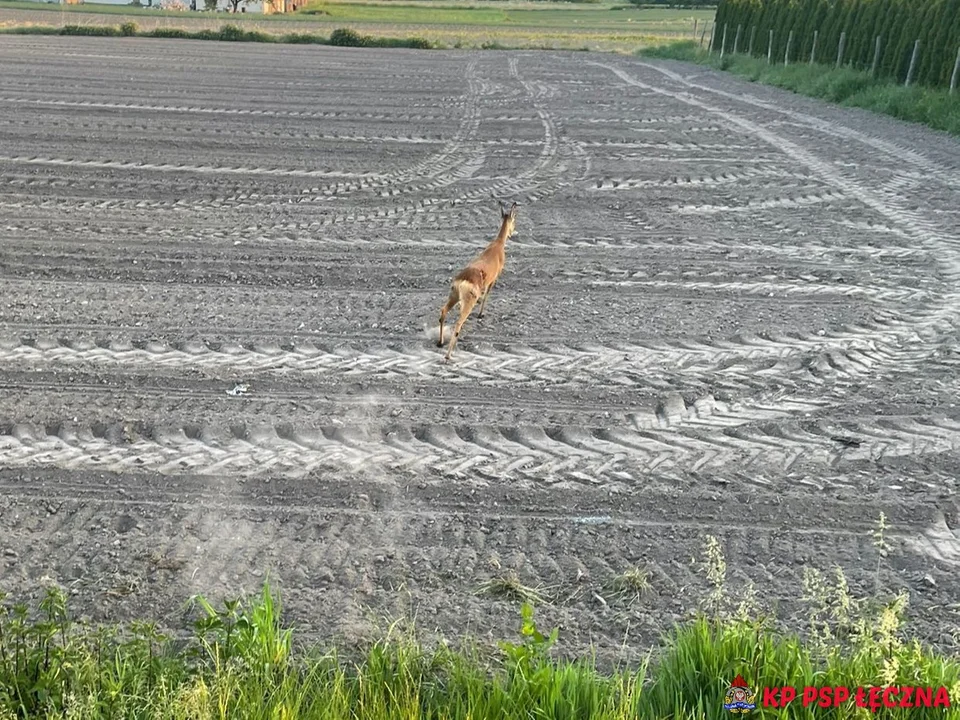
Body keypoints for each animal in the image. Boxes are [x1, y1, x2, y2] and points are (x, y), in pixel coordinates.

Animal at [438, 201, 520, 360]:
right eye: (514, 220)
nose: (513, 232)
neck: (498, 244)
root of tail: (463, 280)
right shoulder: (493, 280)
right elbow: (487, 295)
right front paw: (481, 314)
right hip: (466, 304)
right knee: (458, 324)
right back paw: (448, 355)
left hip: (454, 296)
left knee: (443, 312)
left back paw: (440, 343)